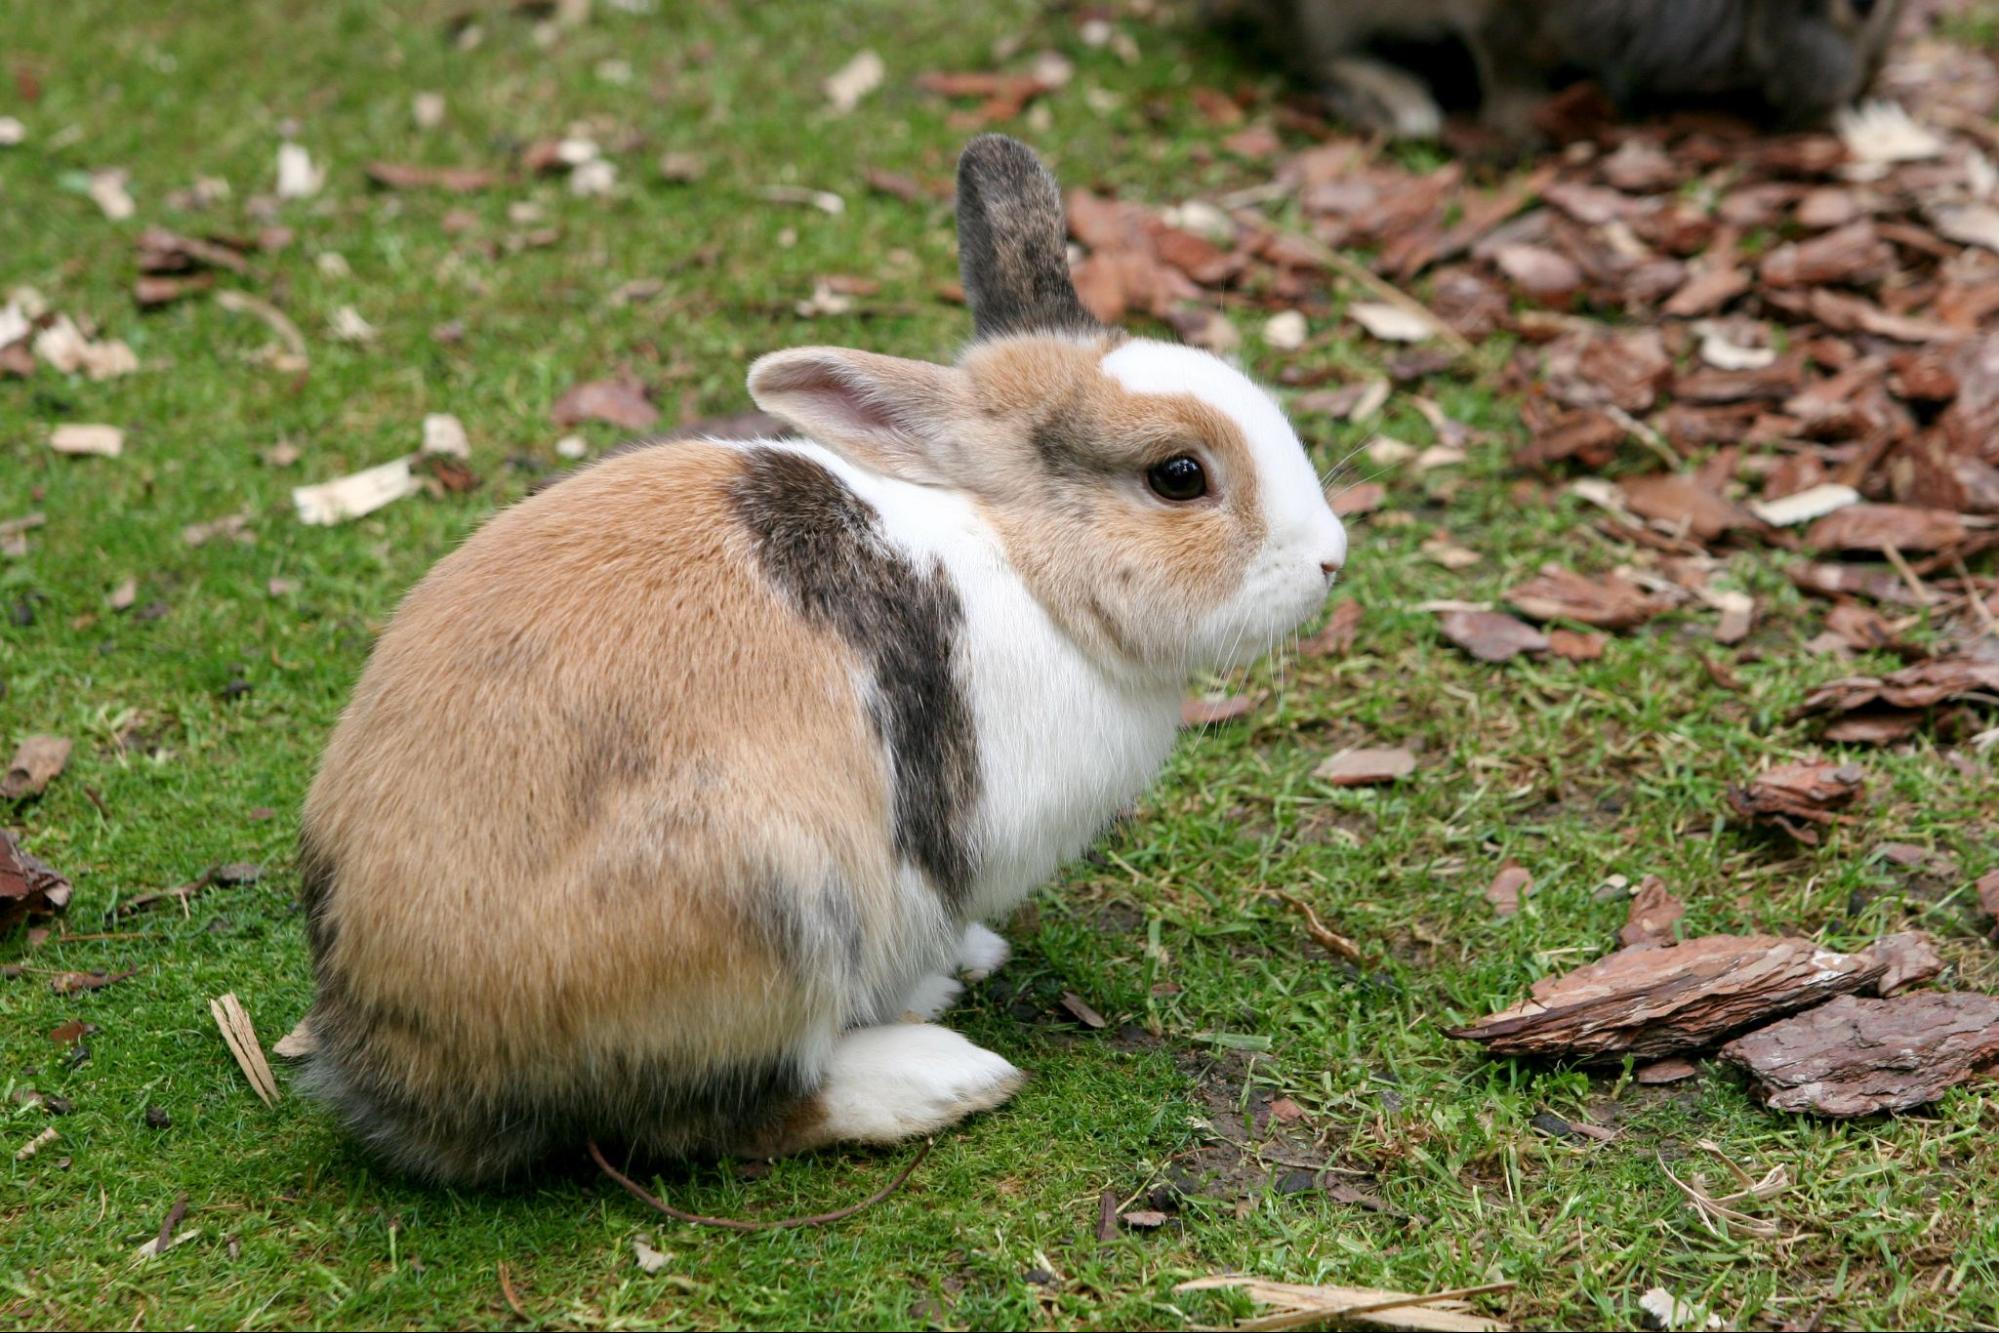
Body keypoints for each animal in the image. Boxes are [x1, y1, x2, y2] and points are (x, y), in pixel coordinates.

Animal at [294, 134, 1348, 1186]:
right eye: (1179, 476)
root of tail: (403, 1054)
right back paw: (941, 1073)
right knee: (713, 1114)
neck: (1025, 561)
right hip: (772, 901)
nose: (1331, 559)